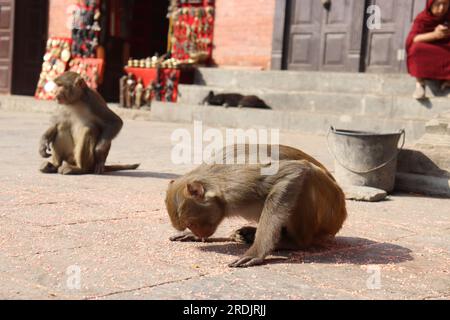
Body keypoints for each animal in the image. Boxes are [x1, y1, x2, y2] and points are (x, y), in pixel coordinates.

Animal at [167, 145, 346, 268]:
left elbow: (293, 171)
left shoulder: (240, 183)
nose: (198, 232)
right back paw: (245, 235)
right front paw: (194, 236)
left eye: (191, 223)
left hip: (329, 212)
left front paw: (257, 252)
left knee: (308, 173)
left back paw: (293, 242)